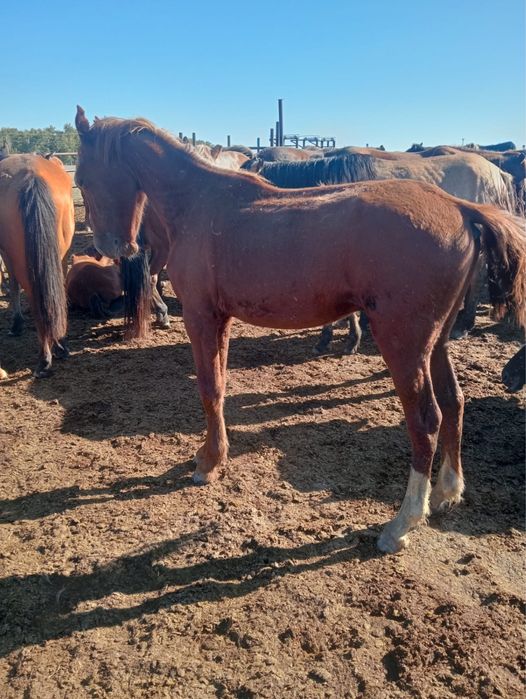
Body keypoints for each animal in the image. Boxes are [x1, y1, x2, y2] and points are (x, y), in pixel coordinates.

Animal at [0, 153, 75, 378]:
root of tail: (31, 177)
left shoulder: (7, 254)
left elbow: (13, 285)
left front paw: (16, 324)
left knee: (36, 299)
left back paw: (45, 358)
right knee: (53, 297)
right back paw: (59, 345)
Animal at [74, 107, 526, 554]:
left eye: (81, 178)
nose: (111, 248)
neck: (199, 203)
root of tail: (460, 208)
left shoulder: (200, 317)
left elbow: (208, 387)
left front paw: (208, 463)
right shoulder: (220, 319)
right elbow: (219, 386)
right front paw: (215, 456)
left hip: (404, 345)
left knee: (426, 421)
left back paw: (403, 522)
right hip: (436, 342)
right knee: (454, 401)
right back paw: (448, 490)